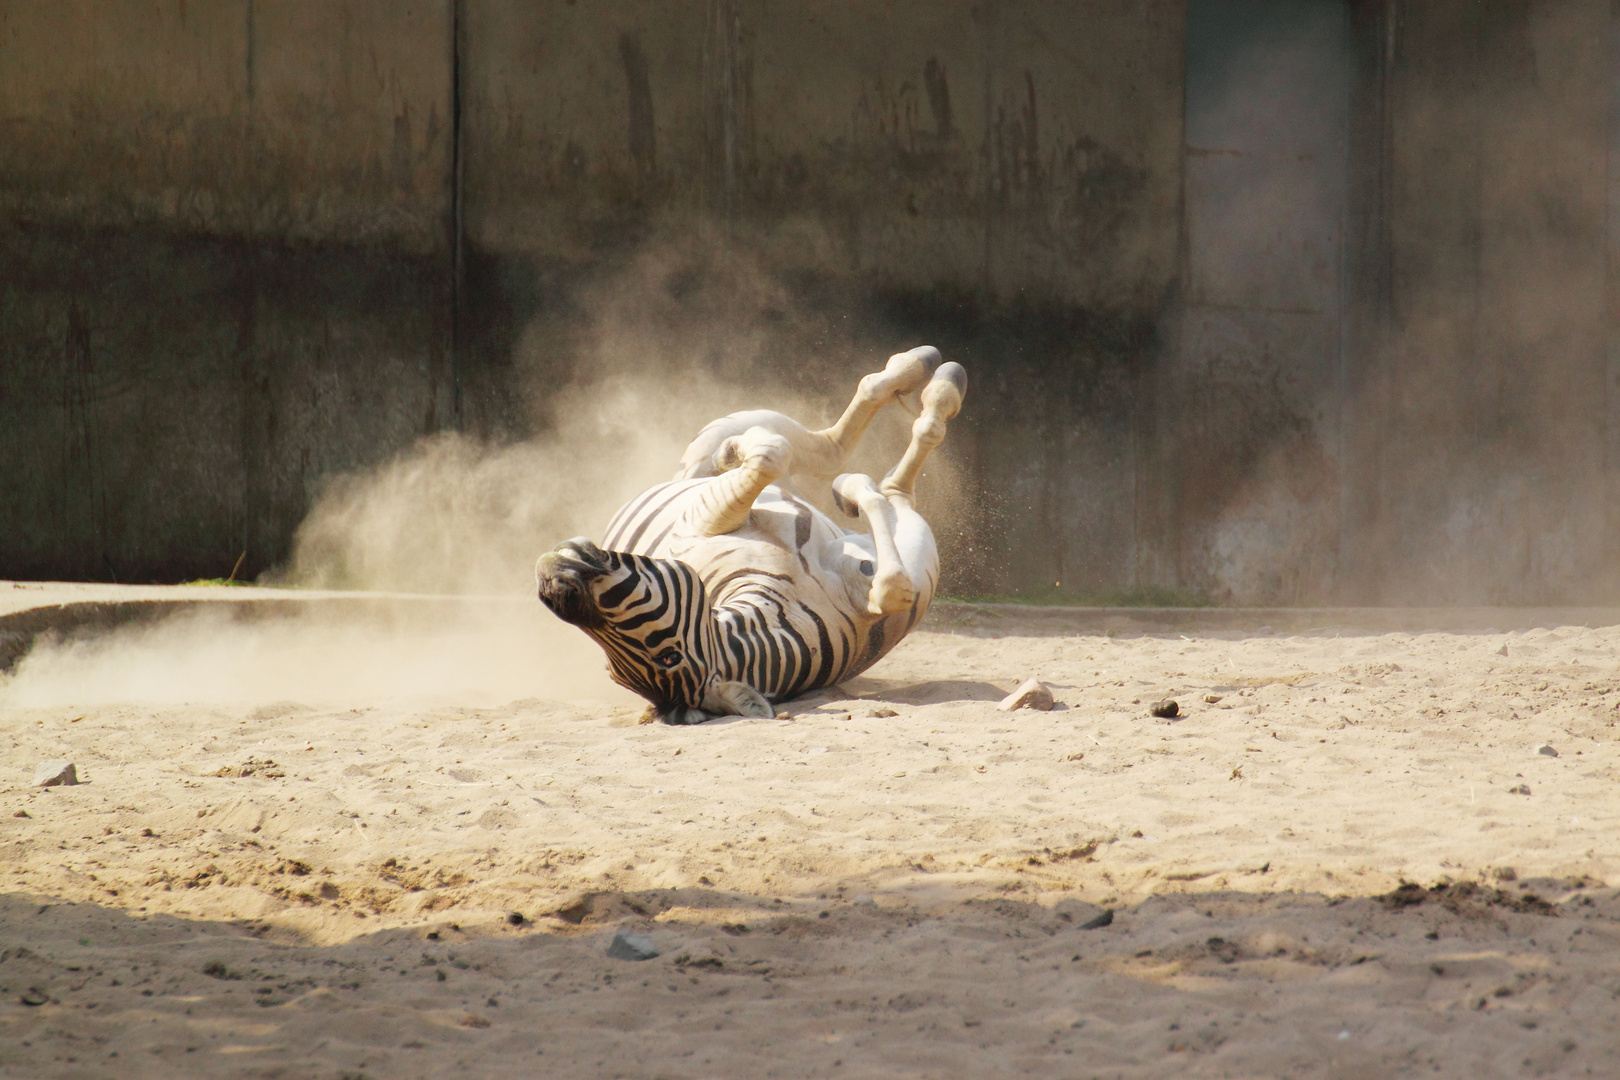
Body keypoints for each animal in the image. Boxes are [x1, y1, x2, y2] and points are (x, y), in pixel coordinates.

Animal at [534, 351, 959, 722]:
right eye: (667, 657)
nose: (551, 584)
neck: (788, 606)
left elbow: (891, 581)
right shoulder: (698, 523)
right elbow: (781, 458)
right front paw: (856, 487)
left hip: (722, 448)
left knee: (837, 431)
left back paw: (928, 370)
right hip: (725, 447)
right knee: (834, 451)